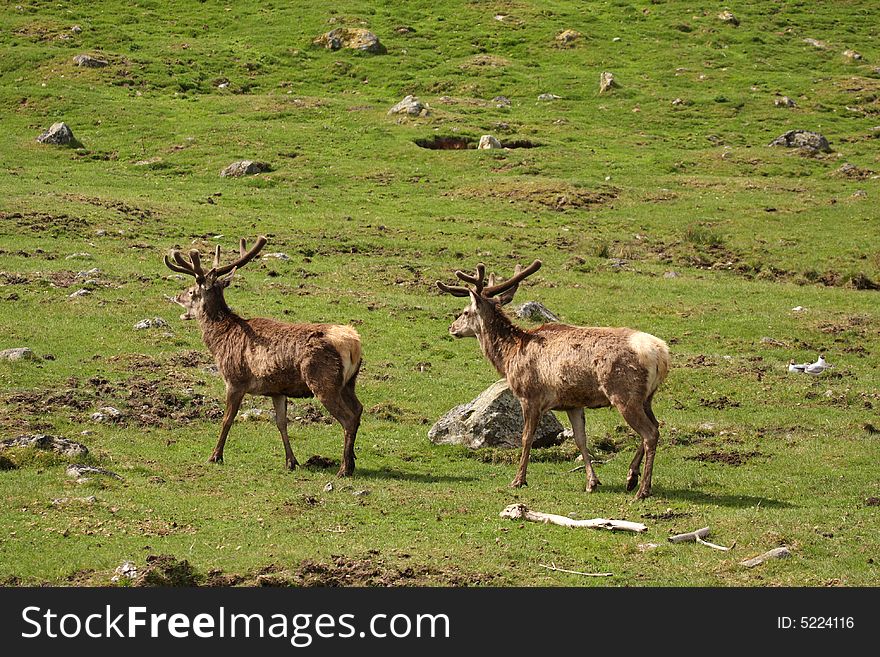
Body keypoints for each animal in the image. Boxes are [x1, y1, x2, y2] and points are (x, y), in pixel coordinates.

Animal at [162, 236, 360, 476]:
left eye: (192, 291)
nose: (177, 296)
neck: (220, 341)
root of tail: (353, 342)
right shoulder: (277, 390)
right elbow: (281, 422)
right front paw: (291, 461)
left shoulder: (235, 380)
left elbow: (227, 419)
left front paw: (215, 456)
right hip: (349, 383)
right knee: (359, 410)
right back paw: (351, 462)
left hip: (324, 381)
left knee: (348, 418)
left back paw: (344, 468)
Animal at [436, 260, 672, 498]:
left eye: (465, 312)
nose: (451, 327)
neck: (510, 356)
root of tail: (661, 353)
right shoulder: (573, 403)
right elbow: (580, 439)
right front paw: (592, 482)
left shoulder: (530, 396)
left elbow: (526, 437)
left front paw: (518, 480)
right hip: (646, 397)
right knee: (656, 425)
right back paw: (631, 477)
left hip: (624, 393)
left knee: (650, 433)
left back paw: (643, 489)